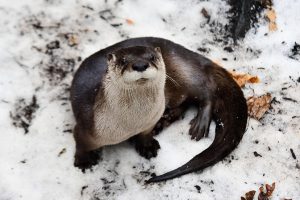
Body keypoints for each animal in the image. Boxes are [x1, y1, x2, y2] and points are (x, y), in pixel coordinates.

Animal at [71, 36, 248, 182]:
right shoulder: (86, 127)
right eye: (123, 61)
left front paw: (148, 146)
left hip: (186, 74)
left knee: (207, 93)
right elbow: (79, 142)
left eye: (152, 57)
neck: (133, 124)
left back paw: (198, 125)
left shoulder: (148, 122)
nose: (140, 65)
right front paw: (83, 160)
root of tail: (195, 57)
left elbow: (146, 134)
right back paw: (166, 120)